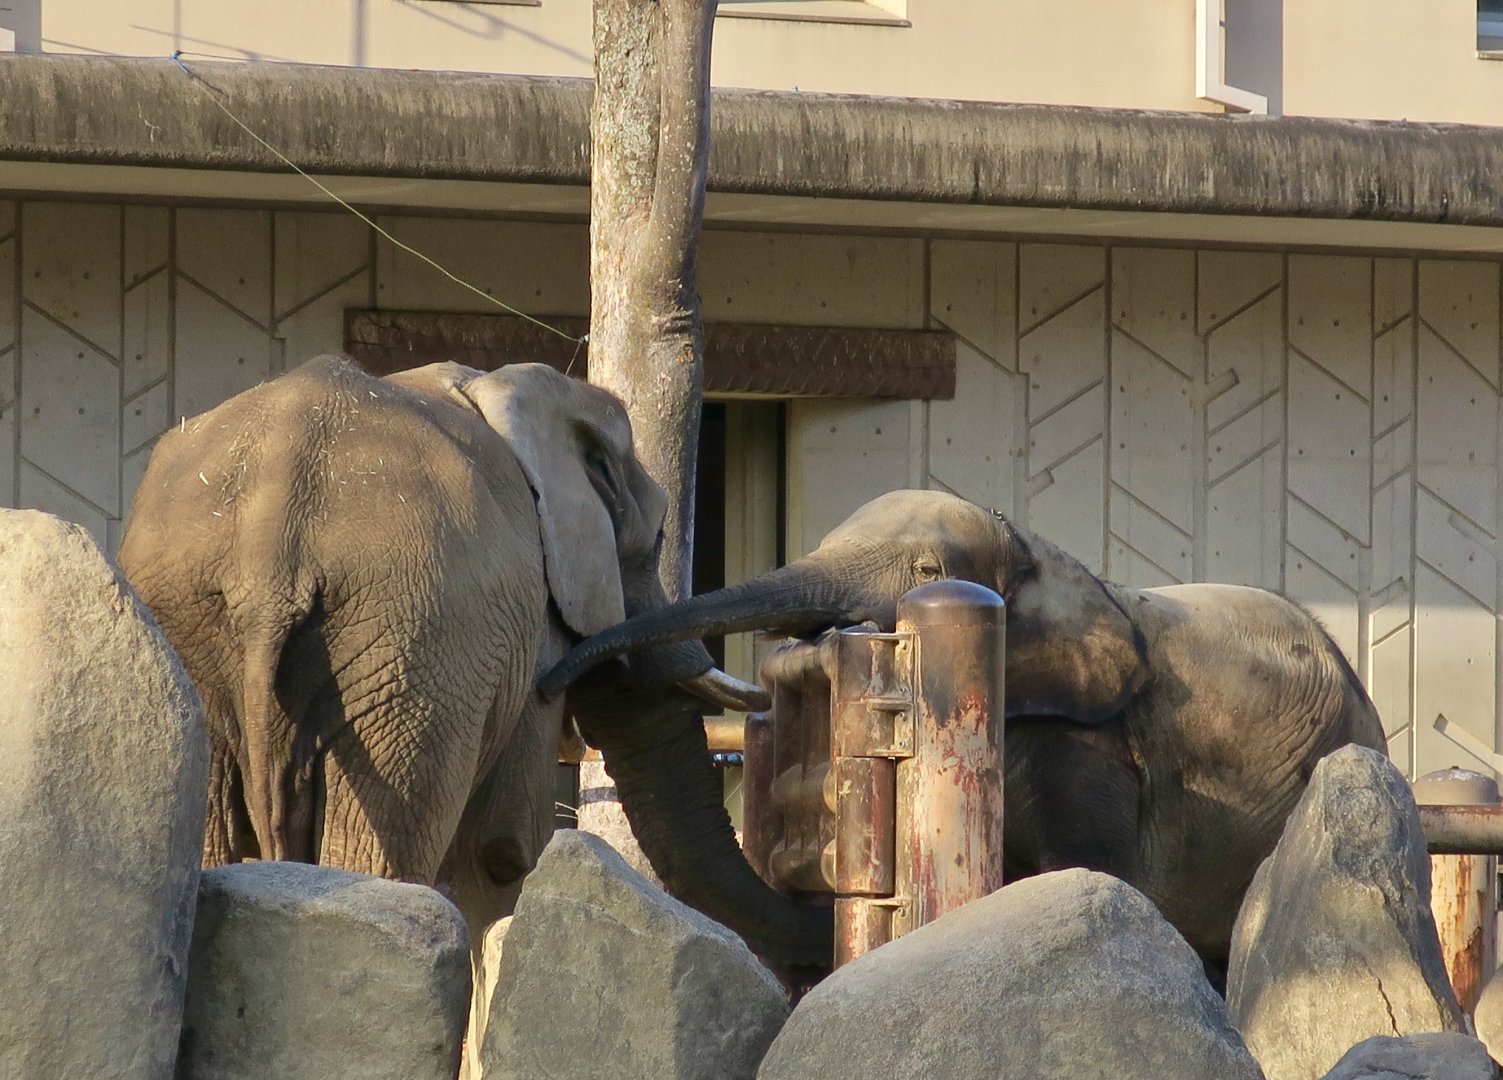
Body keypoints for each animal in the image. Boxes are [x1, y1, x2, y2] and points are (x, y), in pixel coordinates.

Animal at [118, 353, 831, 965]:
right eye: (655, 539)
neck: (509, 388)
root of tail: (270, 541)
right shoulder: (529, 624)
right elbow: (502, 849)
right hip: (418, 639)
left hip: (218, 626)